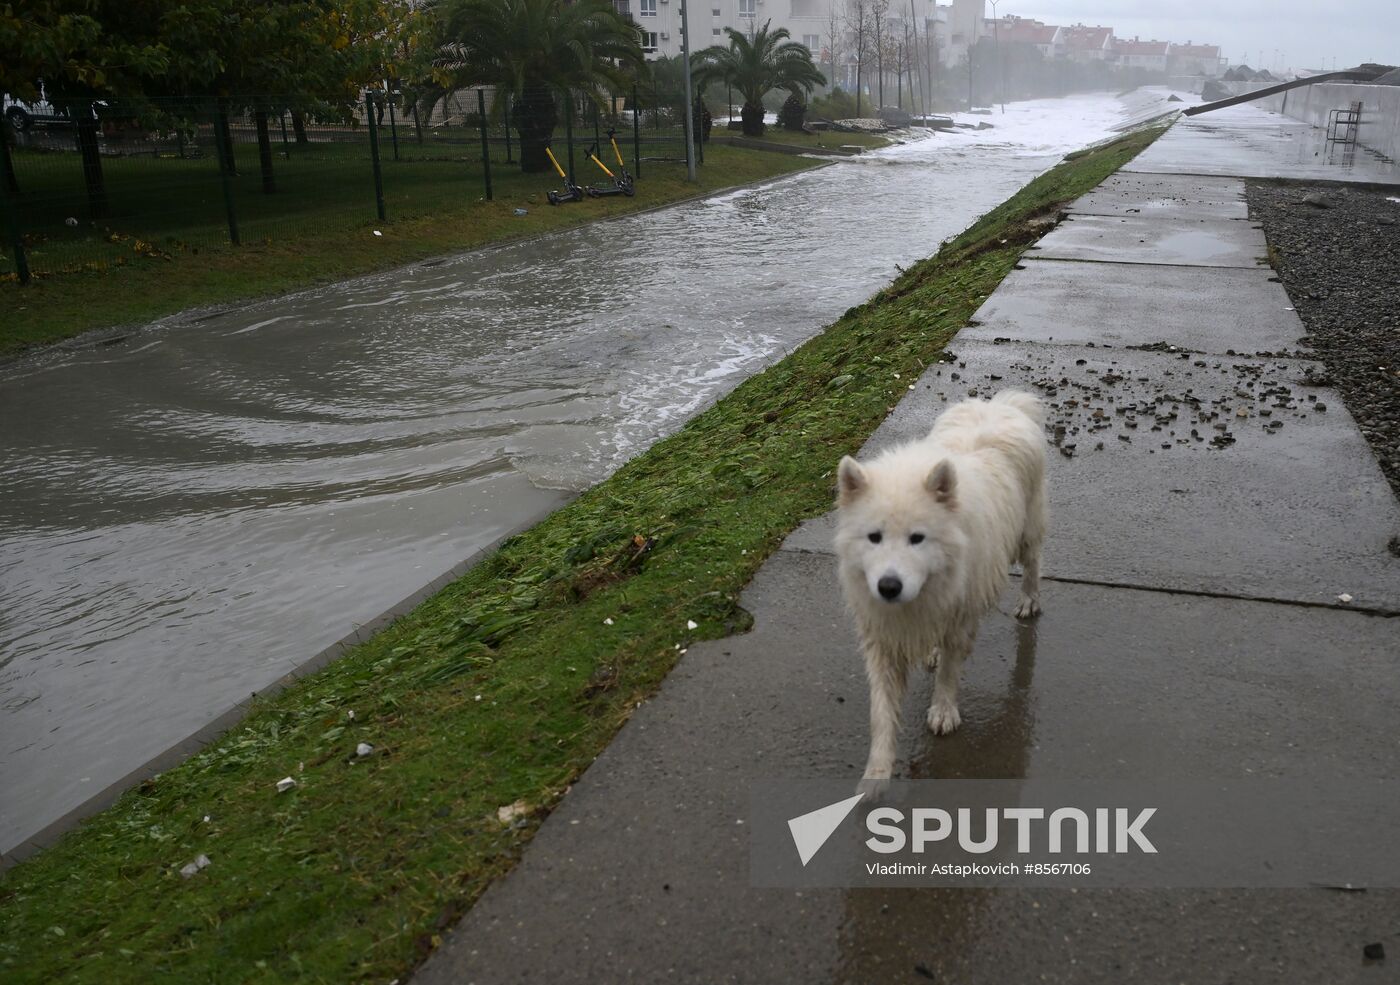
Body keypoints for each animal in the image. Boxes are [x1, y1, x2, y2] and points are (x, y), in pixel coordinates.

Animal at [834, 388, 1047, 794]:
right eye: (874, 537)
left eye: (917, 538)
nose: (889, 587)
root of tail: (999, 405)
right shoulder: (883, 637)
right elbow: (882, 712)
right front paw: (876, 774)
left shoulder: (958, 617)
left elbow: (949, 672)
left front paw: (943, 712)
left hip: (1026, 533)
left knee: (1033, 565)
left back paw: (1029, 601)